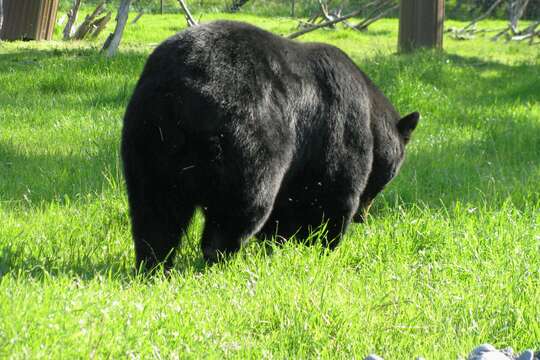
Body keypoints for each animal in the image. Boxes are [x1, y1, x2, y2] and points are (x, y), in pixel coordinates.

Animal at [120, 19, 420, 268]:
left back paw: (154, 263)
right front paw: (324, 244)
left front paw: (282, 242)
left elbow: (288, 205)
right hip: (246, 137)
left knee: (155, 211)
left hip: (148, 141)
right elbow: (333, 191)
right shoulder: (340, 131)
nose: (363, 216)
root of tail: (177, 94)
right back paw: (219, 259)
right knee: (242, 204)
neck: (371, 116)